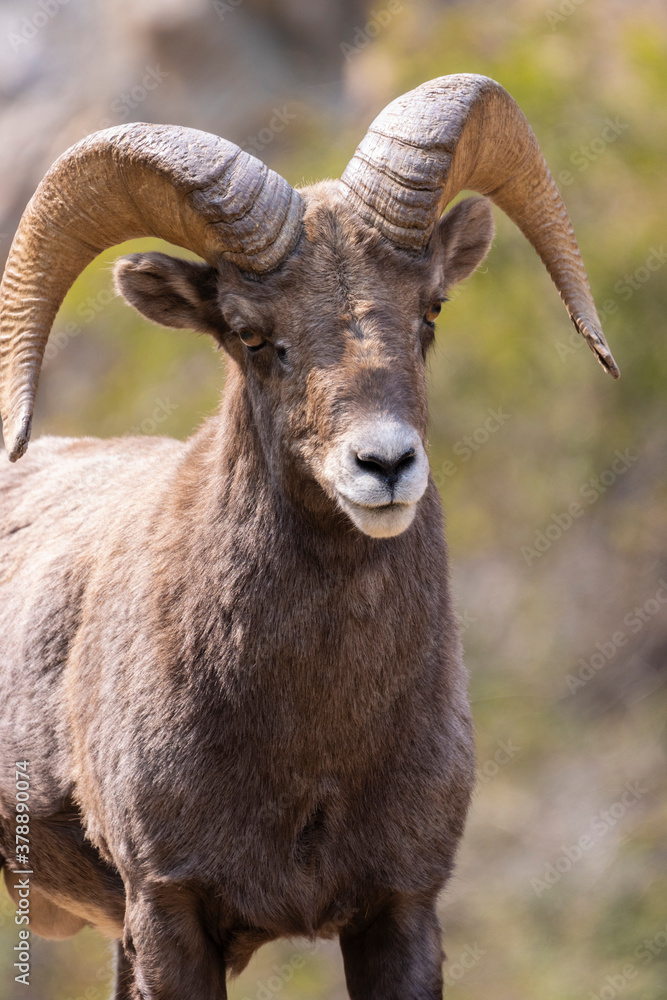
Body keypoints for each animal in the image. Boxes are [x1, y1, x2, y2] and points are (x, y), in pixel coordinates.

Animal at [0, 72, 620, 1000]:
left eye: (429, 311)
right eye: (253, 335)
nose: (384, 464)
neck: (313, 748)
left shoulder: (399, 910)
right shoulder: (169, 912)